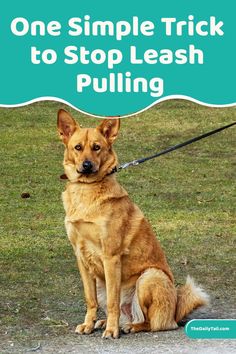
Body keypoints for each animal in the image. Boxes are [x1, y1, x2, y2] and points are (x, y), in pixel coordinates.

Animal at [57, 109, 208, 338]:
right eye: (78, 147)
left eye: (97, 147)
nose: (87, 165)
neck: (87, 190)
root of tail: (175, 310)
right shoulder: (81, 258)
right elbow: (90, 300)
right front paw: (89, 324)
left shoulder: (110, 257)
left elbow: (113, 302)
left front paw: (111, 331)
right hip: (103, 283)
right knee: (125, 313)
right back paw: (105, 322)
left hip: (149, 277)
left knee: (153, 322)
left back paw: (128, 326)